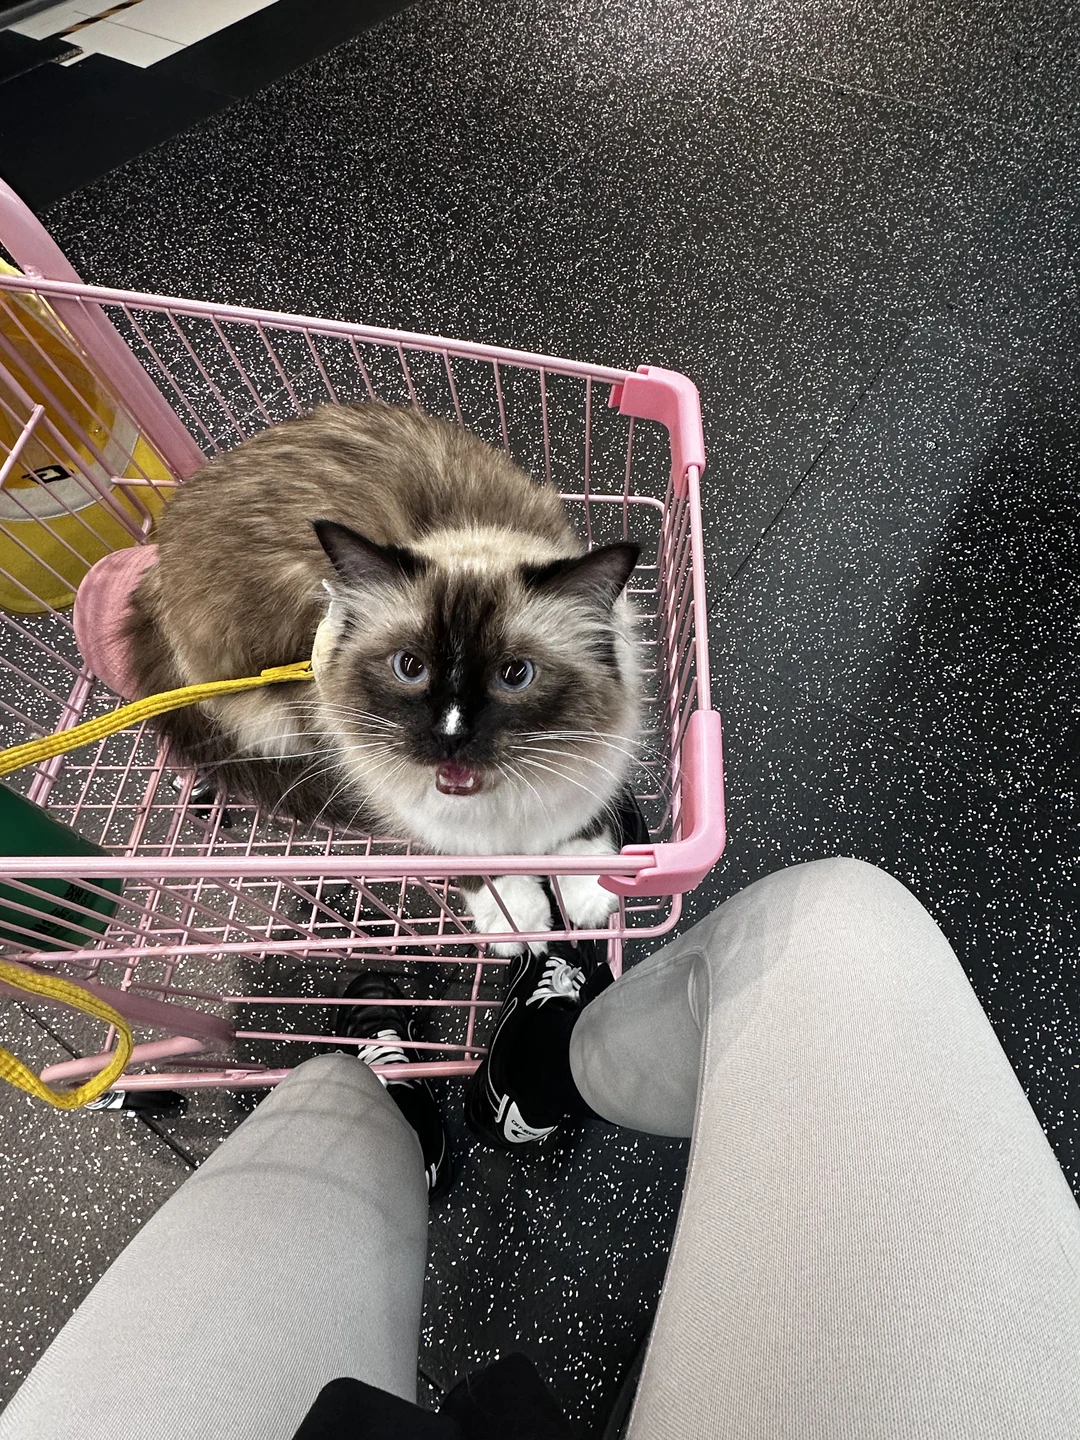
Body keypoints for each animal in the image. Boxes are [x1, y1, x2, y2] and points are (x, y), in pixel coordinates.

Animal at [127, 401, 641, 952]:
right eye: (409, 667)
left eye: (514, 674)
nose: (450, 736)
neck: (499, 803)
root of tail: (155, 553)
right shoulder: (419, 814)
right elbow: (479, 869)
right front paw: (518, 927)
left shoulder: (590, 772)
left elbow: (580, 835)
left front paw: (590, 898)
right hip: (281, 715)